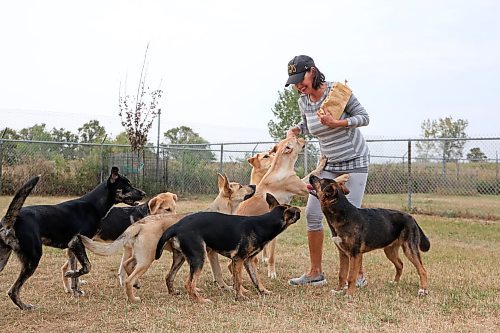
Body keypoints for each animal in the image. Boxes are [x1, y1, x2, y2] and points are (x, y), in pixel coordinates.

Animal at [0, 167, 146, 310]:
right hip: (33, 258)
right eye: (128, 185)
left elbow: (76, 273)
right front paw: (70, 275)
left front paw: (76, 291)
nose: (144, 193)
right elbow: (87, 267)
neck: (93, 205)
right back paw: (24, 306)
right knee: (13, 290)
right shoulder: (76, 242)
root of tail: (9, 221)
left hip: (4, 259)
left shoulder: (72, 249)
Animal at [79, 171, 256, 300]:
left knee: (127, 265)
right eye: (241, 186)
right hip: (148, 257)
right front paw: (229, 288)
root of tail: (142, 222)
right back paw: (133, 296)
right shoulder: (211, 254)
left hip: (142, 254)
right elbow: (220, 272)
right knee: (129, 274)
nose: (254, 184)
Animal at [154, 192, 300, 304]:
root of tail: (177, 226)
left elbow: (256, 279)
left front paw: (263, 291)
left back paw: (173, 293)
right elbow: (238, 280)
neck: (262, 224)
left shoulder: (248, 261)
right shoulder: (238, 259)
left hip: (181, 257)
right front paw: (240, 296)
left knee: (169, 276)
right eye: (294, 212)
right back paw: (200, 300)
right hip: (198, 258)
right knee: (189, 284)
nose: (299, 211)